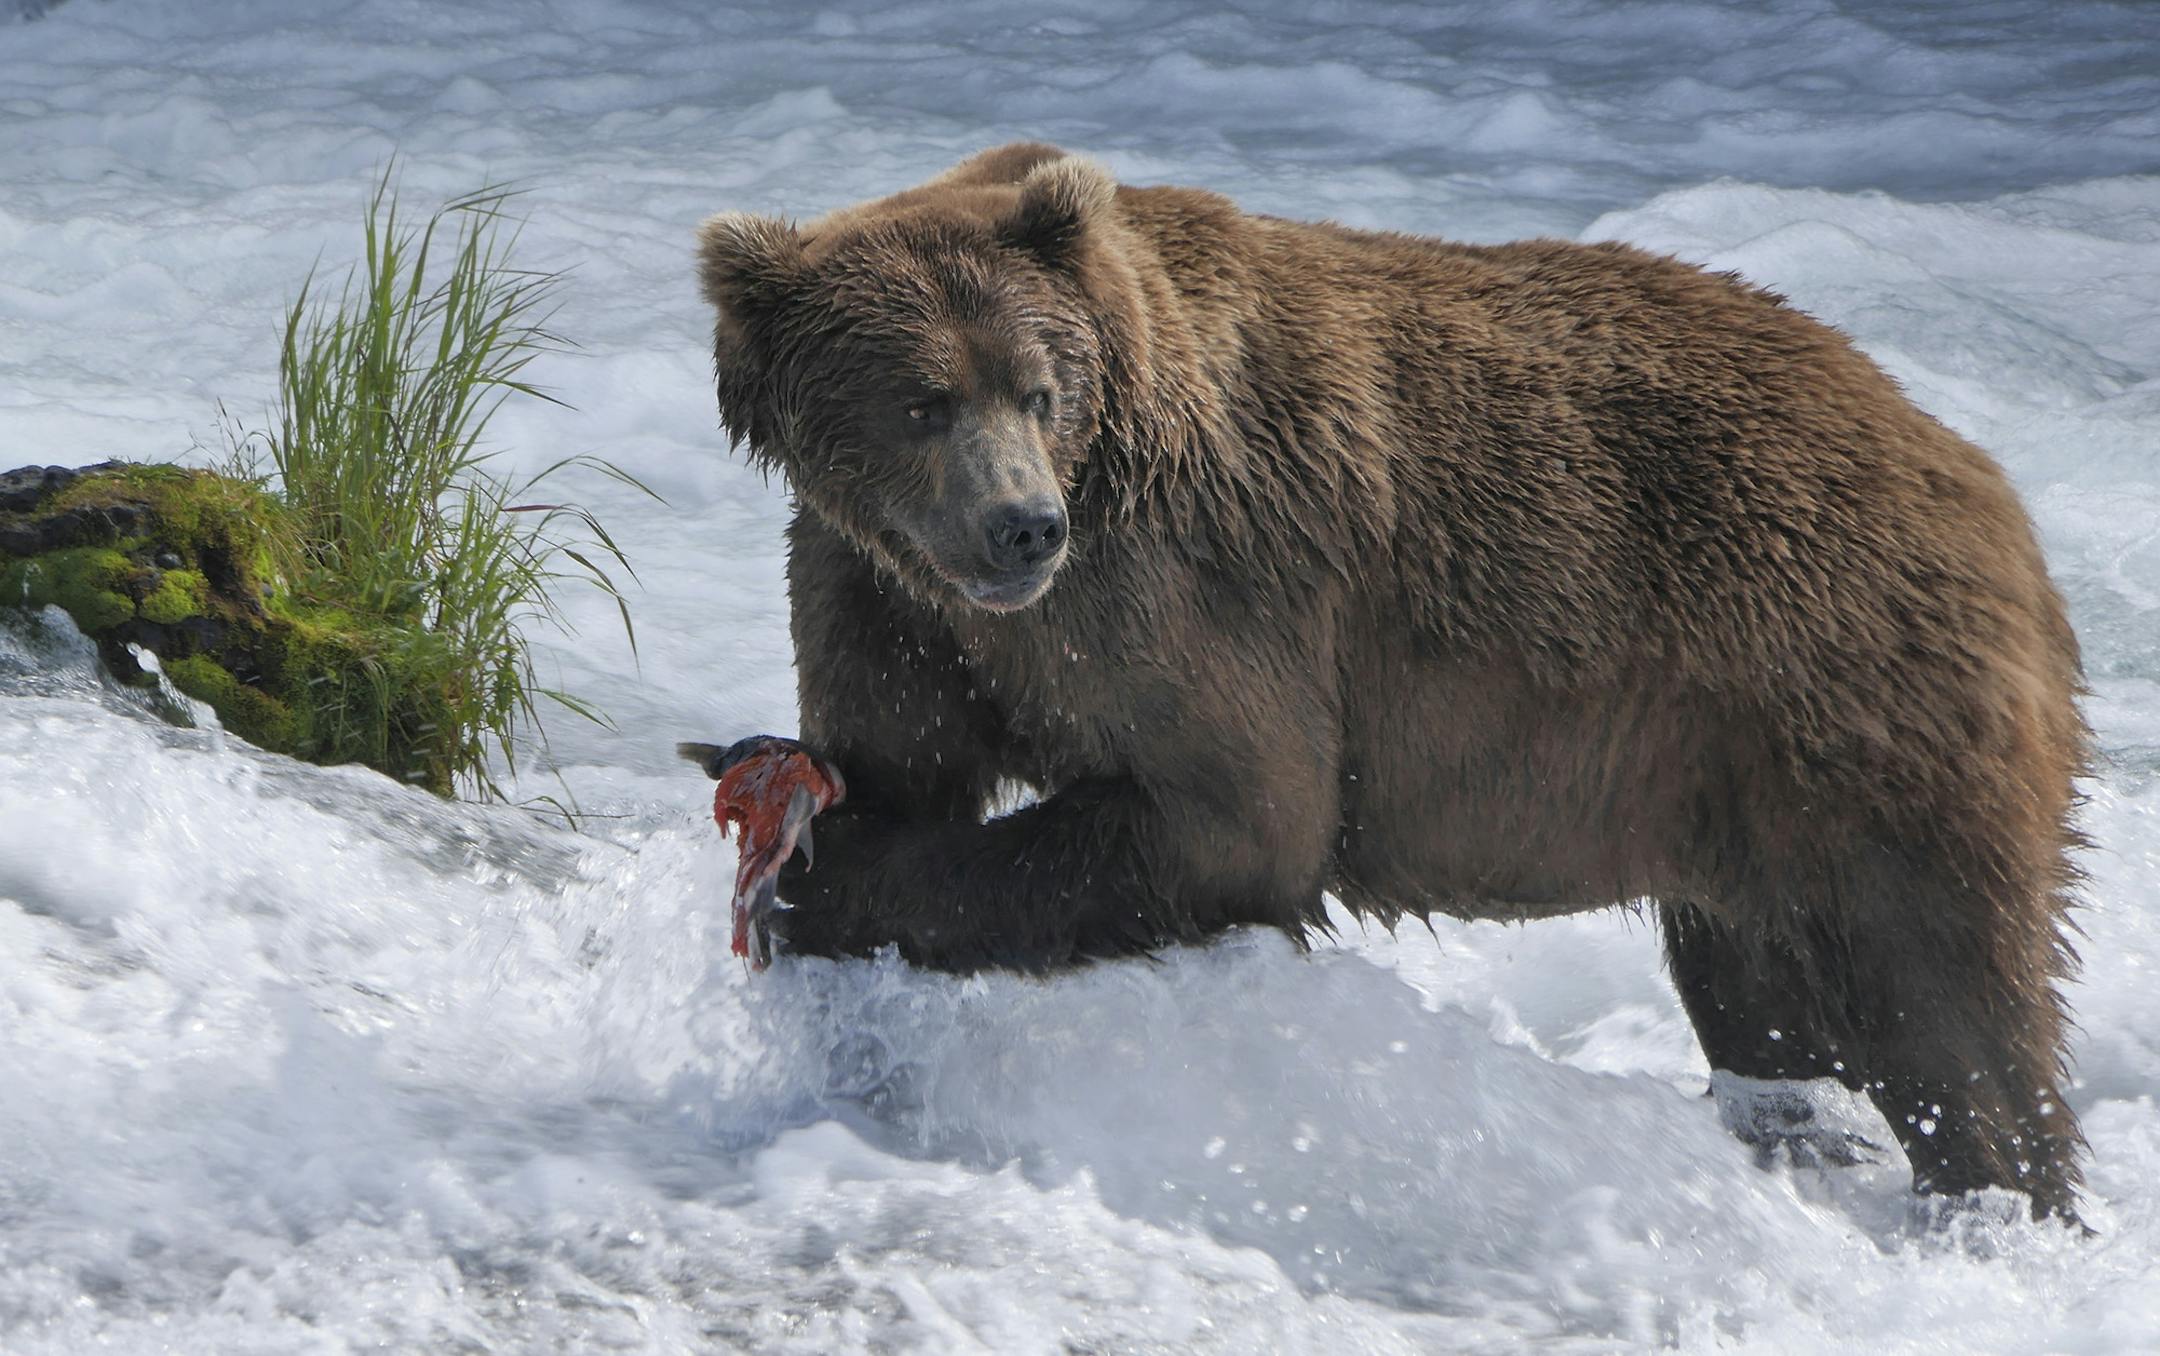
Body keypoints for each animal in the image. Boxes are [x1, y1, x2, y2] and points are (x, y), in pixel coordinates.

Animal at [693, 143, 2090, 1222]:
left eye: (1037, 388)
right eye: (921, 402)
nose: (1020, 528)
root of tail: (1985, 481)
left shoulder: (1176, 583)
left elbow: (1235, 811)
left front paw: (820, 879)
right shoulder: (881, 593)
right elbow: (902, 756)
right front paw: (802, 814)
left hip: (1843, 687)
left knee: (1949, 1001)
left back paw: (2005, 1203)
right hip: (1726, 769)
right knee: (1759, 983)